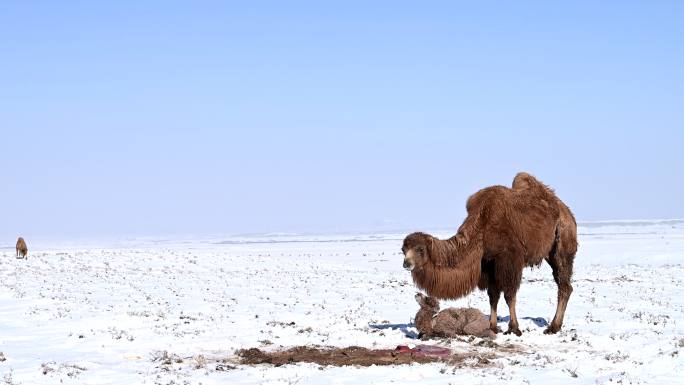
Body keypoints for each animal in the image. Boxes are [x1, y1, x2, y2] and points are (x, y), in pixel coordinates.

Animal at [400, 172, 576, 334]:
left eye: (420, 249)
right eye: (403, 250)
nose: (406, 263)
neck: (482, 227)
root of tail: (566, 210)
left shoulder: (509, 260)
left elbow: (509, 294)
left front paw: (514, 328)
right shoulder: (488, 263)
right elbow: (493, 295)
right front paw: (492, 326)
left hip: (563, 242)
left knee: (563, 284)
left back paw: (553, 327)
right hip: (549, 252)